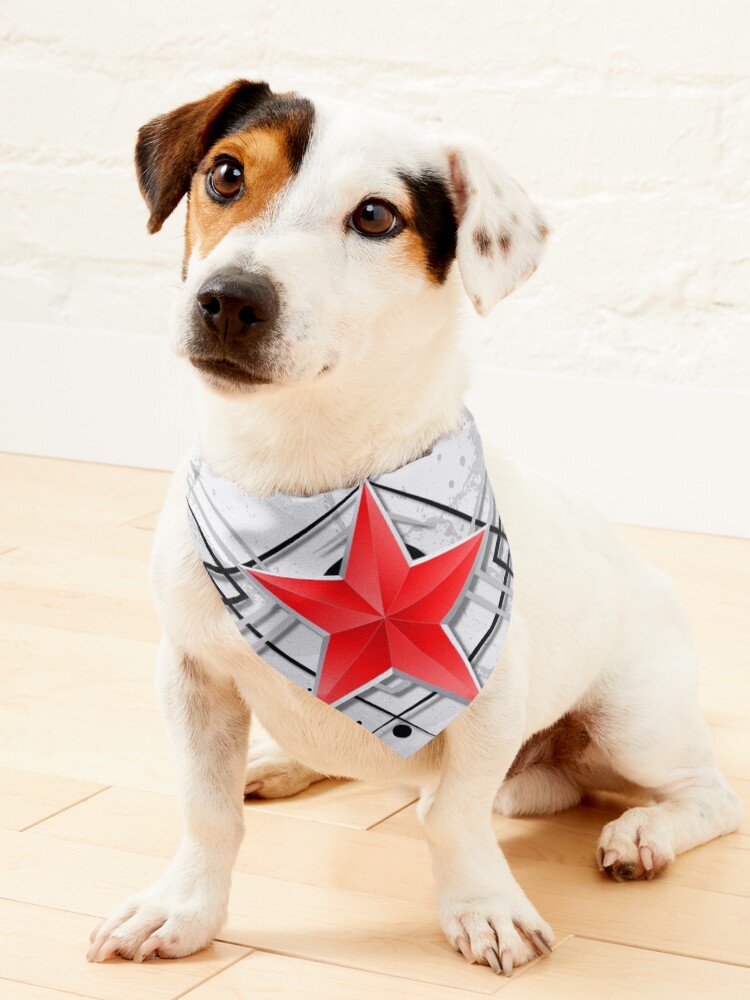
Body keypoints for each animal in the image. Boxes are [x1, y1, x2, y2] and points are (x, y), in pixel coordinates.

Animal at [85, 80, 744, 976]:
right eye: (225, 174)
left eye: (375, 216)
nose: (229, 299)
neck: (304, 469)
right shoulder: (192, 677)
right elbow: (207, 810)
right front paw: (183, 909)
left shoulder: (489, 698)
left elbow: (453, 816)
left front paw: (483, 907)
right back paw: (283, 761)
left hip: (634, 720)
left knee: (708, 796)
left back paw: (644, 833)